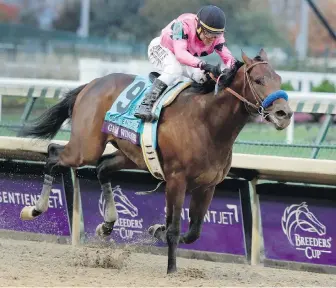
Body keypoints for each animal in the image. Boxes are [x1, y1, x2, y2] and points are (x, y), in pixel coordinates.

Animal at [19, 50, 292, 274]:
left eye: (279, 79)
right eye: (258, 80)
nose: (285, 114)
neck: (208, 123)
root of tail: (92, 83)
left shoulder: (207, 186)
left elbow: (193, 232)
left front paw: (155, 230)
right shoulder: (176, 180)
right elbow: (174, 227)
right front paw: (171, 269)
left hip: (131, 155)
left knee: (103, 167)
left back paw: (106, 225)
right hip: (85, 148)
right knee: (53, 154)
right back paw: (34, 209)